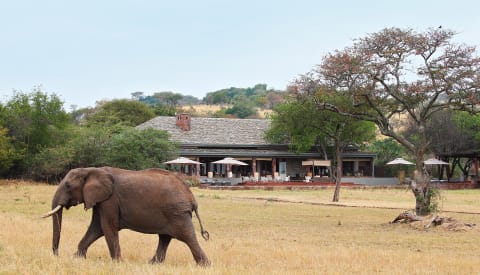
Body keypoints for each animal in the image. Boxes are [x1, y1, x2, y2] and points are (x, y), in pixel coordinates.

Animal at [42, 167, 210, 266]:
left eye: (68, 186)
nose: (56, 255)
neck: (91, 170)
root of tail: (191, 197)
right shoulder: (101, 200)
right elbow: (96, 228)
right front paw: (77, 258)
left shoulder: (110, 200)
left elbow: (107, 227)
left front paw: (118, 263)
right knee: (165, 238)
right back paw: (152, 264)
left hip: (177, 213)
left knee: (187, 237)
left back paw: (204, 265)